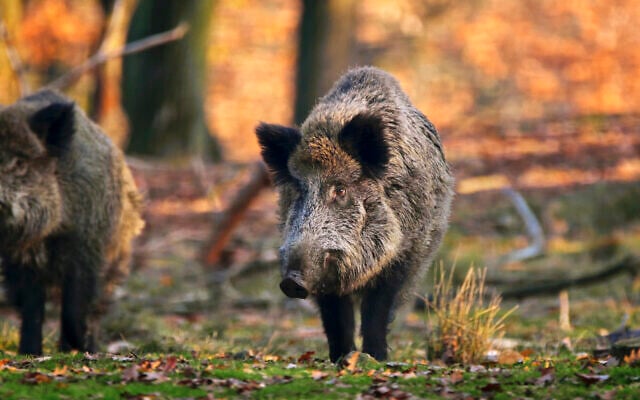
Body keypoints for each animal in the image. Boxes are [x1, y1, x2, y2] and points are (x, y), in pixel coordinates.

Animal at [0, 89, 144, 355]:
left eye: (19, 163)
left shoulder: (86, 250)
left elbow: (76, 304)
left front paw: (78, 348)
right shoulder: (18, 261)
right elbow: (31, 307)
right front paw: (30, 352)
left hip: (115, 260)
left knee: (97, 307)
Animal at [256, 66, 454, 361]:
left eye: (340, 189)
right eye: (300, 189)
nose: (292, 281)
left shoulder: (402, 256)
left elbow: (377, 311)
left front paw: (376, 357)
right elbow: (336, 318)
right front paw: (341, 358)